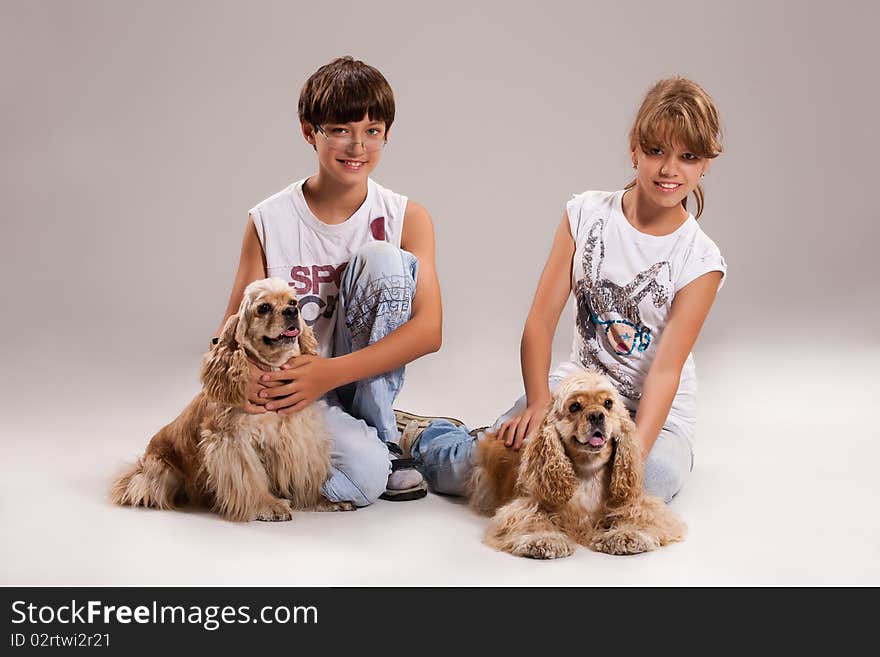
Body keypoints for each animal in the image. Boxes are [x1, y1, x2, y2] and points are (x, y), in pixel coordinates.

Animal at [105, 280, 348, 520]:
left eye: (293, 302)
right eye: (263, 308)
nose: (291, 312)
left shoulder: (300, 436)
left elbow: (308, 478)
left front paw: (323, 501)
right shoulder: (232, 441)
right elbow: (250, 480)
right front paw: (268, 506)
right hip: (162, 471)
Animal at [470, 372, 684, 556]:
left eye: (608, 403)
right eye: (574, 407)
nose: (597, 415)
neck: (588, 471)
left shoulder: (638, 505)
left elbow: (640, 515)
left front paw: (626, 535)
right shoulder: (525, 507)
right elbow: (531, 520)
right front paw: (543, 539)